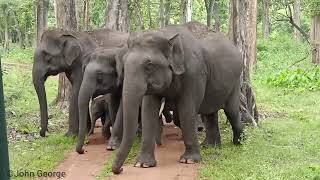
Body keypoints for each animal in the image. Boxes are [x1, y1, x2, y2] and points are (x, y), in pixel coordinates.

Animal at [112, 26, 242, 174]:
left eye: (149, 65)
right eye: (124, 63)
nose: (119, 170)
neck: (165, 33)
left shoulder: (194, 73)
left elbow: (186, 110)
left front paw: (189, 160)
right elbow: (148, 111)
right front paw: (142, 164)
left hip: (235, 82)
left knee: (231, 111)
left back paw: (239, 143)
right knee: (210, 113)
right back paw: (209, 146)